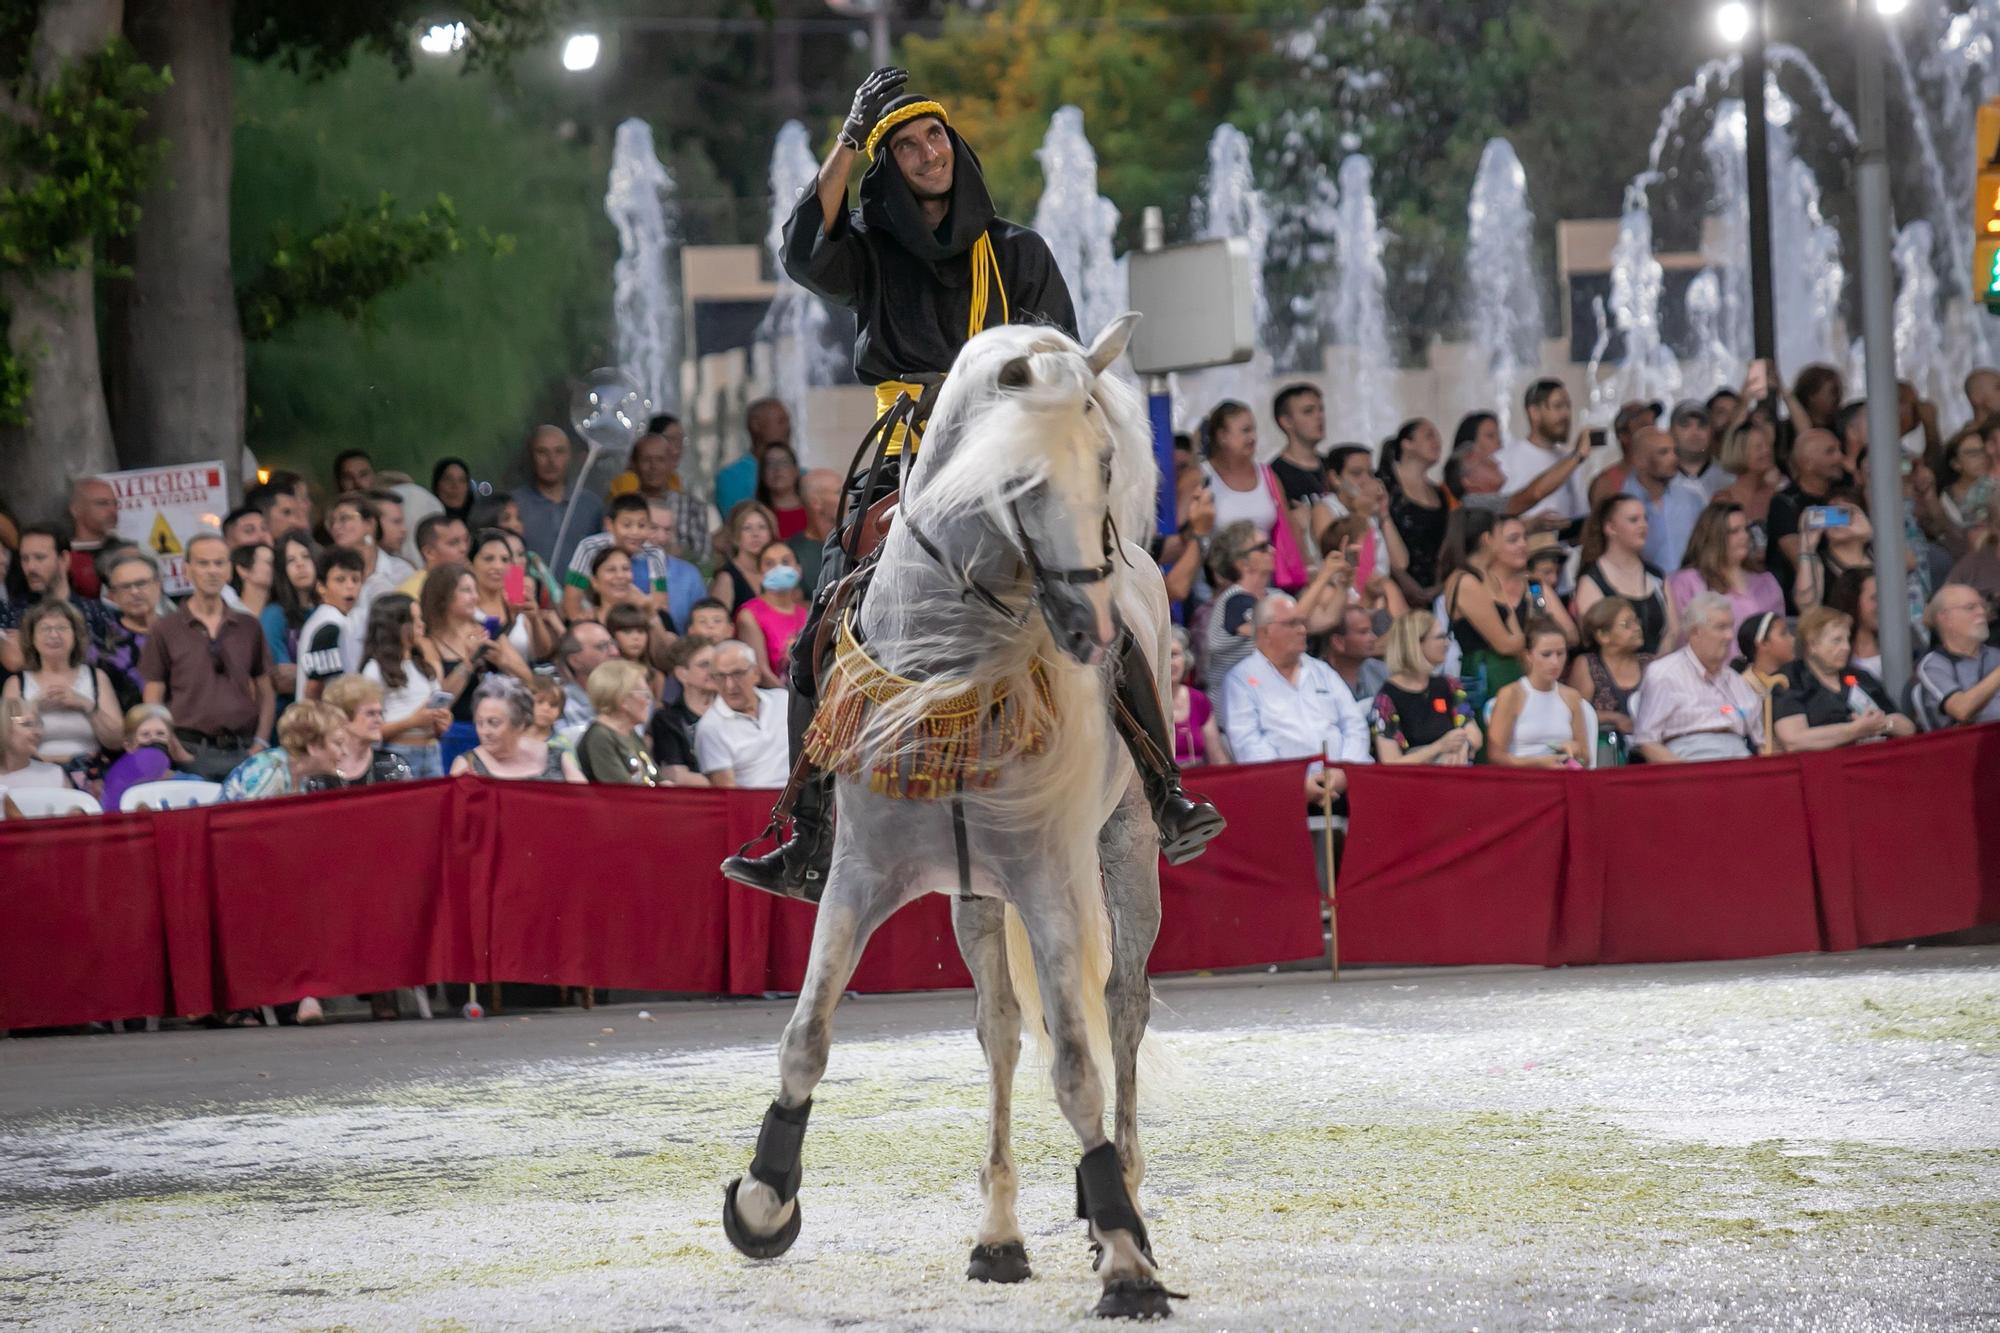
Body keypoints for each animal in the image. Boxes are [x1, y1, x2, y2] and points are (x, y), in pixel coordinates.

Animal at [724, 314, 1176, 1320]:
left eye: (1106, 459)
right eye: (1018, 480)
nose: (1090, 629)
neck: (953, 663)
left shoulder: (1050, 880)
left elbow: (1078, 1066)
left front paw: (1127, 1256)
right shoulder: (859, 874)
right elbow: (806, 1036)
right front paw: (766, 1198)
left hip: (1124, 851)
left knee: (1121, 1010)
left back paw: (1118, 1200)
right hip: (977, 895)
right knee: (1000, 1029)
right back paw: (998, 1236)